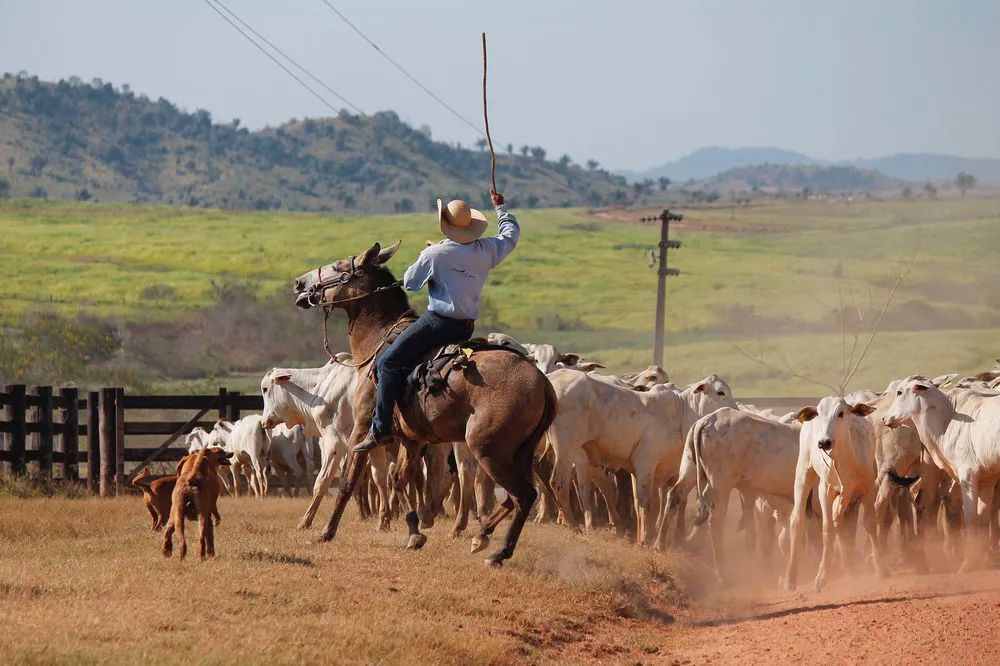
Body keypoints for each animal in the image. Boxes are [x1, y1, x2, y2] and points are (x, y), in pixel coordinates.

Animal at [292, 241, 560, 564]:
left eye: (340, 266)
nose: (300, 284)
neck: (378, 341)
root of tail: (542, 382)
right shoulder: (413, 439)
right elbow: (399, 478)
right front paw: (414, 531)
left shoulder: (362, 426)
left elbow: (348, 482)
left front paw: (327, 532)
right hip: (521, 451)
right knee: (516, 496)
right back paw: (482, 535)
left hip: (489, 450)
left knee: (524, 495)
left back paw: (497, 551)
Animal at [780, 394, 884, 588]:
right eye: (820, 414)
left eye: (841, 413)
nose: (824, 442)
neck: (845, 458)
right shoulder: (825, 491)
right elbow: (827, 528)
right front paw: (822, 576)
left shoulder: (868, 486)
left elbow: (869, 523)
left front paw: (882, 566)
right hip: (803, 472)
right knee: (797, 520)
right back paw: (790, 577)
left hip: (845, 494)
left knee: (839, 520)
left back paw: (849, 567)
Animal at [884, 376, 1000, 568]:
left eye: (899, 392)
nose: (885, 418)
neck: (949, 419)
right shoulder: (987, 480)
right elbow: (983, 519)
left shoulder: (968, 476)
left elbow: (971, 518)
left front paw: (969, 562)